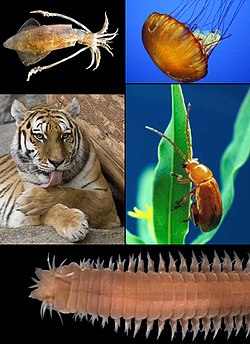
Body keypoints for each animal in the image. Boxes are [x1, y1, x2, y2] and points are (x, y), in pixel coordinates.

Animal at [0, 97, 121, 242]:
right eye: (40, 136)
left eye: (65, 135)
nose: (56, 162)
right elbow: (53, 209)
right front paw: (73, 224)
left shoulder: (105, 197)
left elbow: (75, 194)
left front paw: (29, 199)